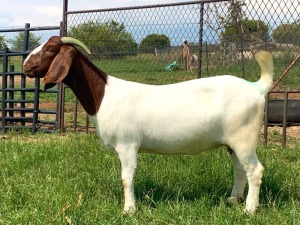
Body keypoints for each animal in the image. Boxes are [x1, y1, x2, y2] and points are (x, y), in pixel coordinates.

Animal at [22, 36, 274, 214]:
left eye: (50, 49)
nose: (25, 66)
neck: (105, 95)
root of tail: (256, 88)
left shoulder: (127, 145)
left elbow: (127, 178)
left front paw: (129, 210)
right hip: (233, 141)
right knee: (240, 169)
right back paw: (234, 200)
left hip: (243, 137)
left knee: (255, 170)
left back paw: (249, 209)